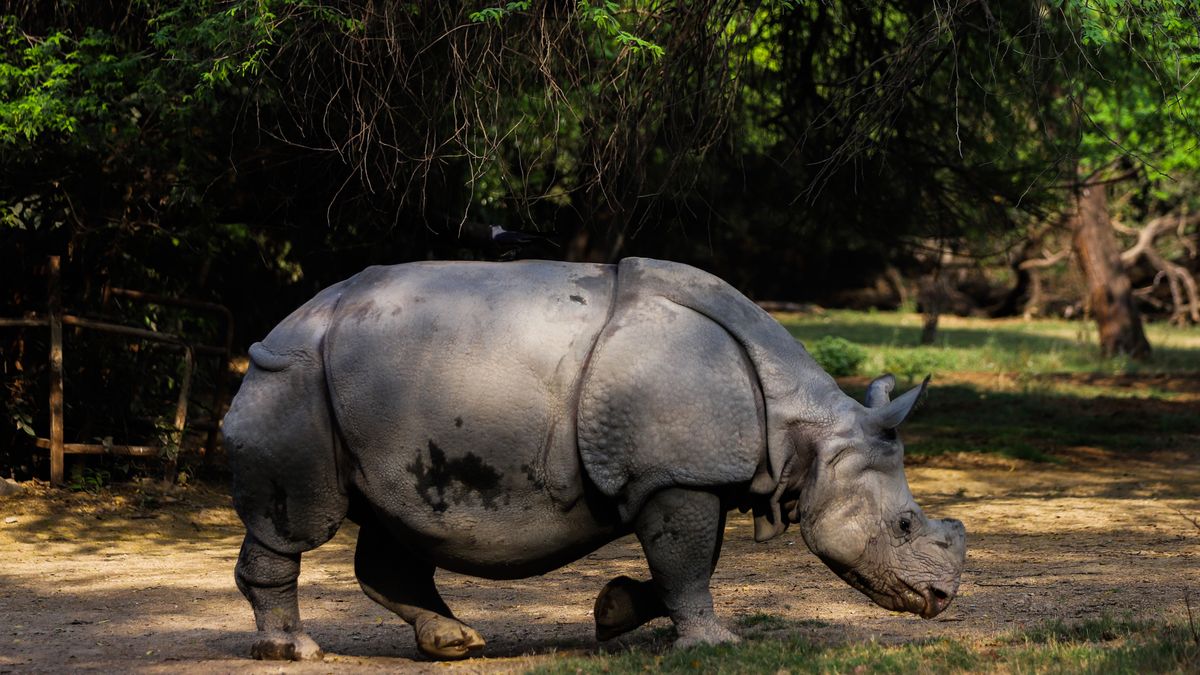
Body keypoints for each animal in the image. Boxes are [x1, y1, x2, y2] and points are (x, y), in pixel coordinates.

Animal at [222, 257, 966, 661]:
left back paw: (455, 642)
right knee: (299, 520)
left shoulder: (681, 475)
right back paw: (293, 650)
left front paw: (612, 612)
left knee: (393, 522)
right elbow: (688, 562)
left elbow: (684, 565)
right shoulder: (677, 476)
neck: (806, 427)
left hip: (365, 392)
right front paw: (714, 645)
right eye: (904, 525)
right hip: (293, 377)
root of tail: (283, 324)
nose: (940, 601)